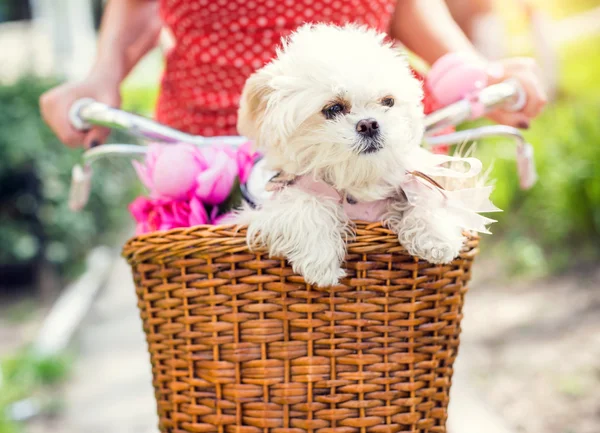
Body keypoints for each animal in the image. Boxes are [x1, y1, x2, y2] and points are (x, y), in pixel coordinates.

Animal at [234, 24, 464, 286]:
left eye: (388, 101)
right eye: (333, 108)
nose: (369, 124)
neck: (356, 179)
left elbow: (426, 197)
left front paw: (436, 238)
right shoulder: (271, 205)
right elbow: (305, 206)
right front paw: (320, 263)